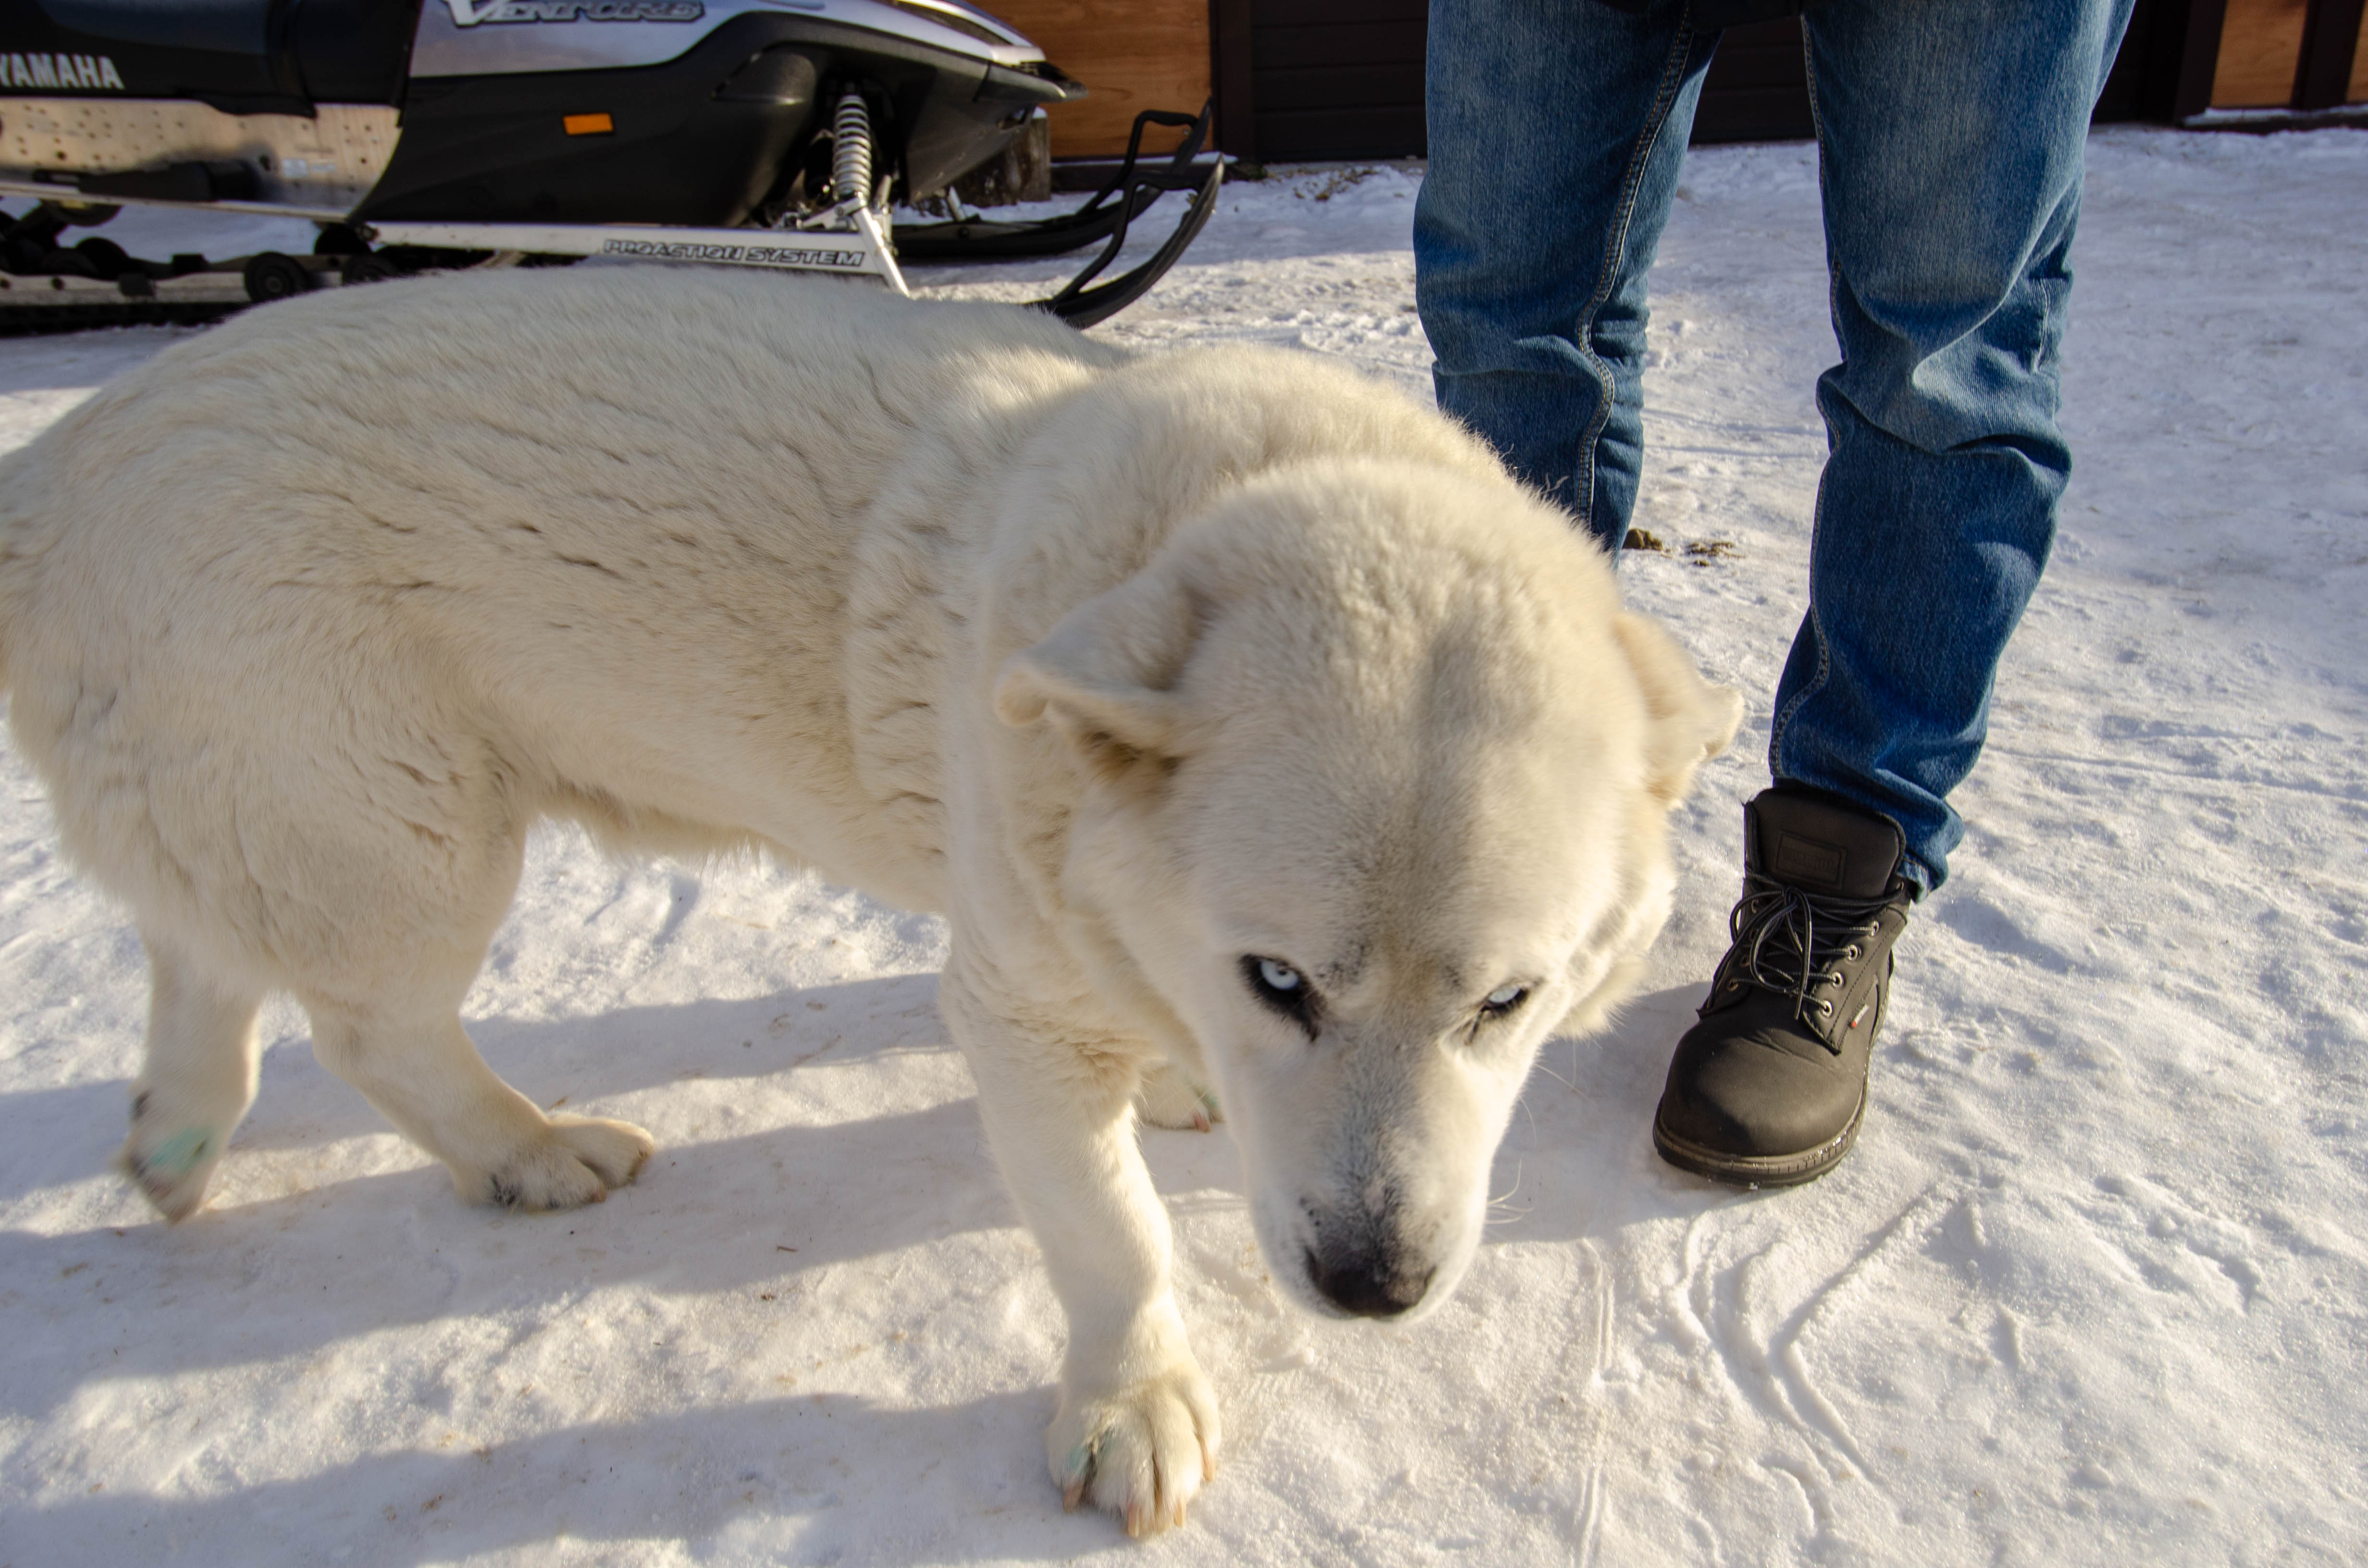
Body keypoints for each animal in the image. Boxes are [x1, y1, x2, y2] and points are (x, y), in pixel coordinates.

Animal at [0, 268, 1743, 1534]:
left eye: (1505, 1002)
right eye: (1280, 980)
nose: (1374, 1288)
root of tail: (57, 462)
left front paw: (1172, 1093)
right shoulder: (1014, 1003)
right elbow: (1110, 1232)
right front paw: (1129, 1403)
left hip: (264, 803)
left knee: (205, 956)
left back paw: (176, 1140)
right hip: (395, 826)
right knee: (367, 1024)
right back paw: (523, 1150)